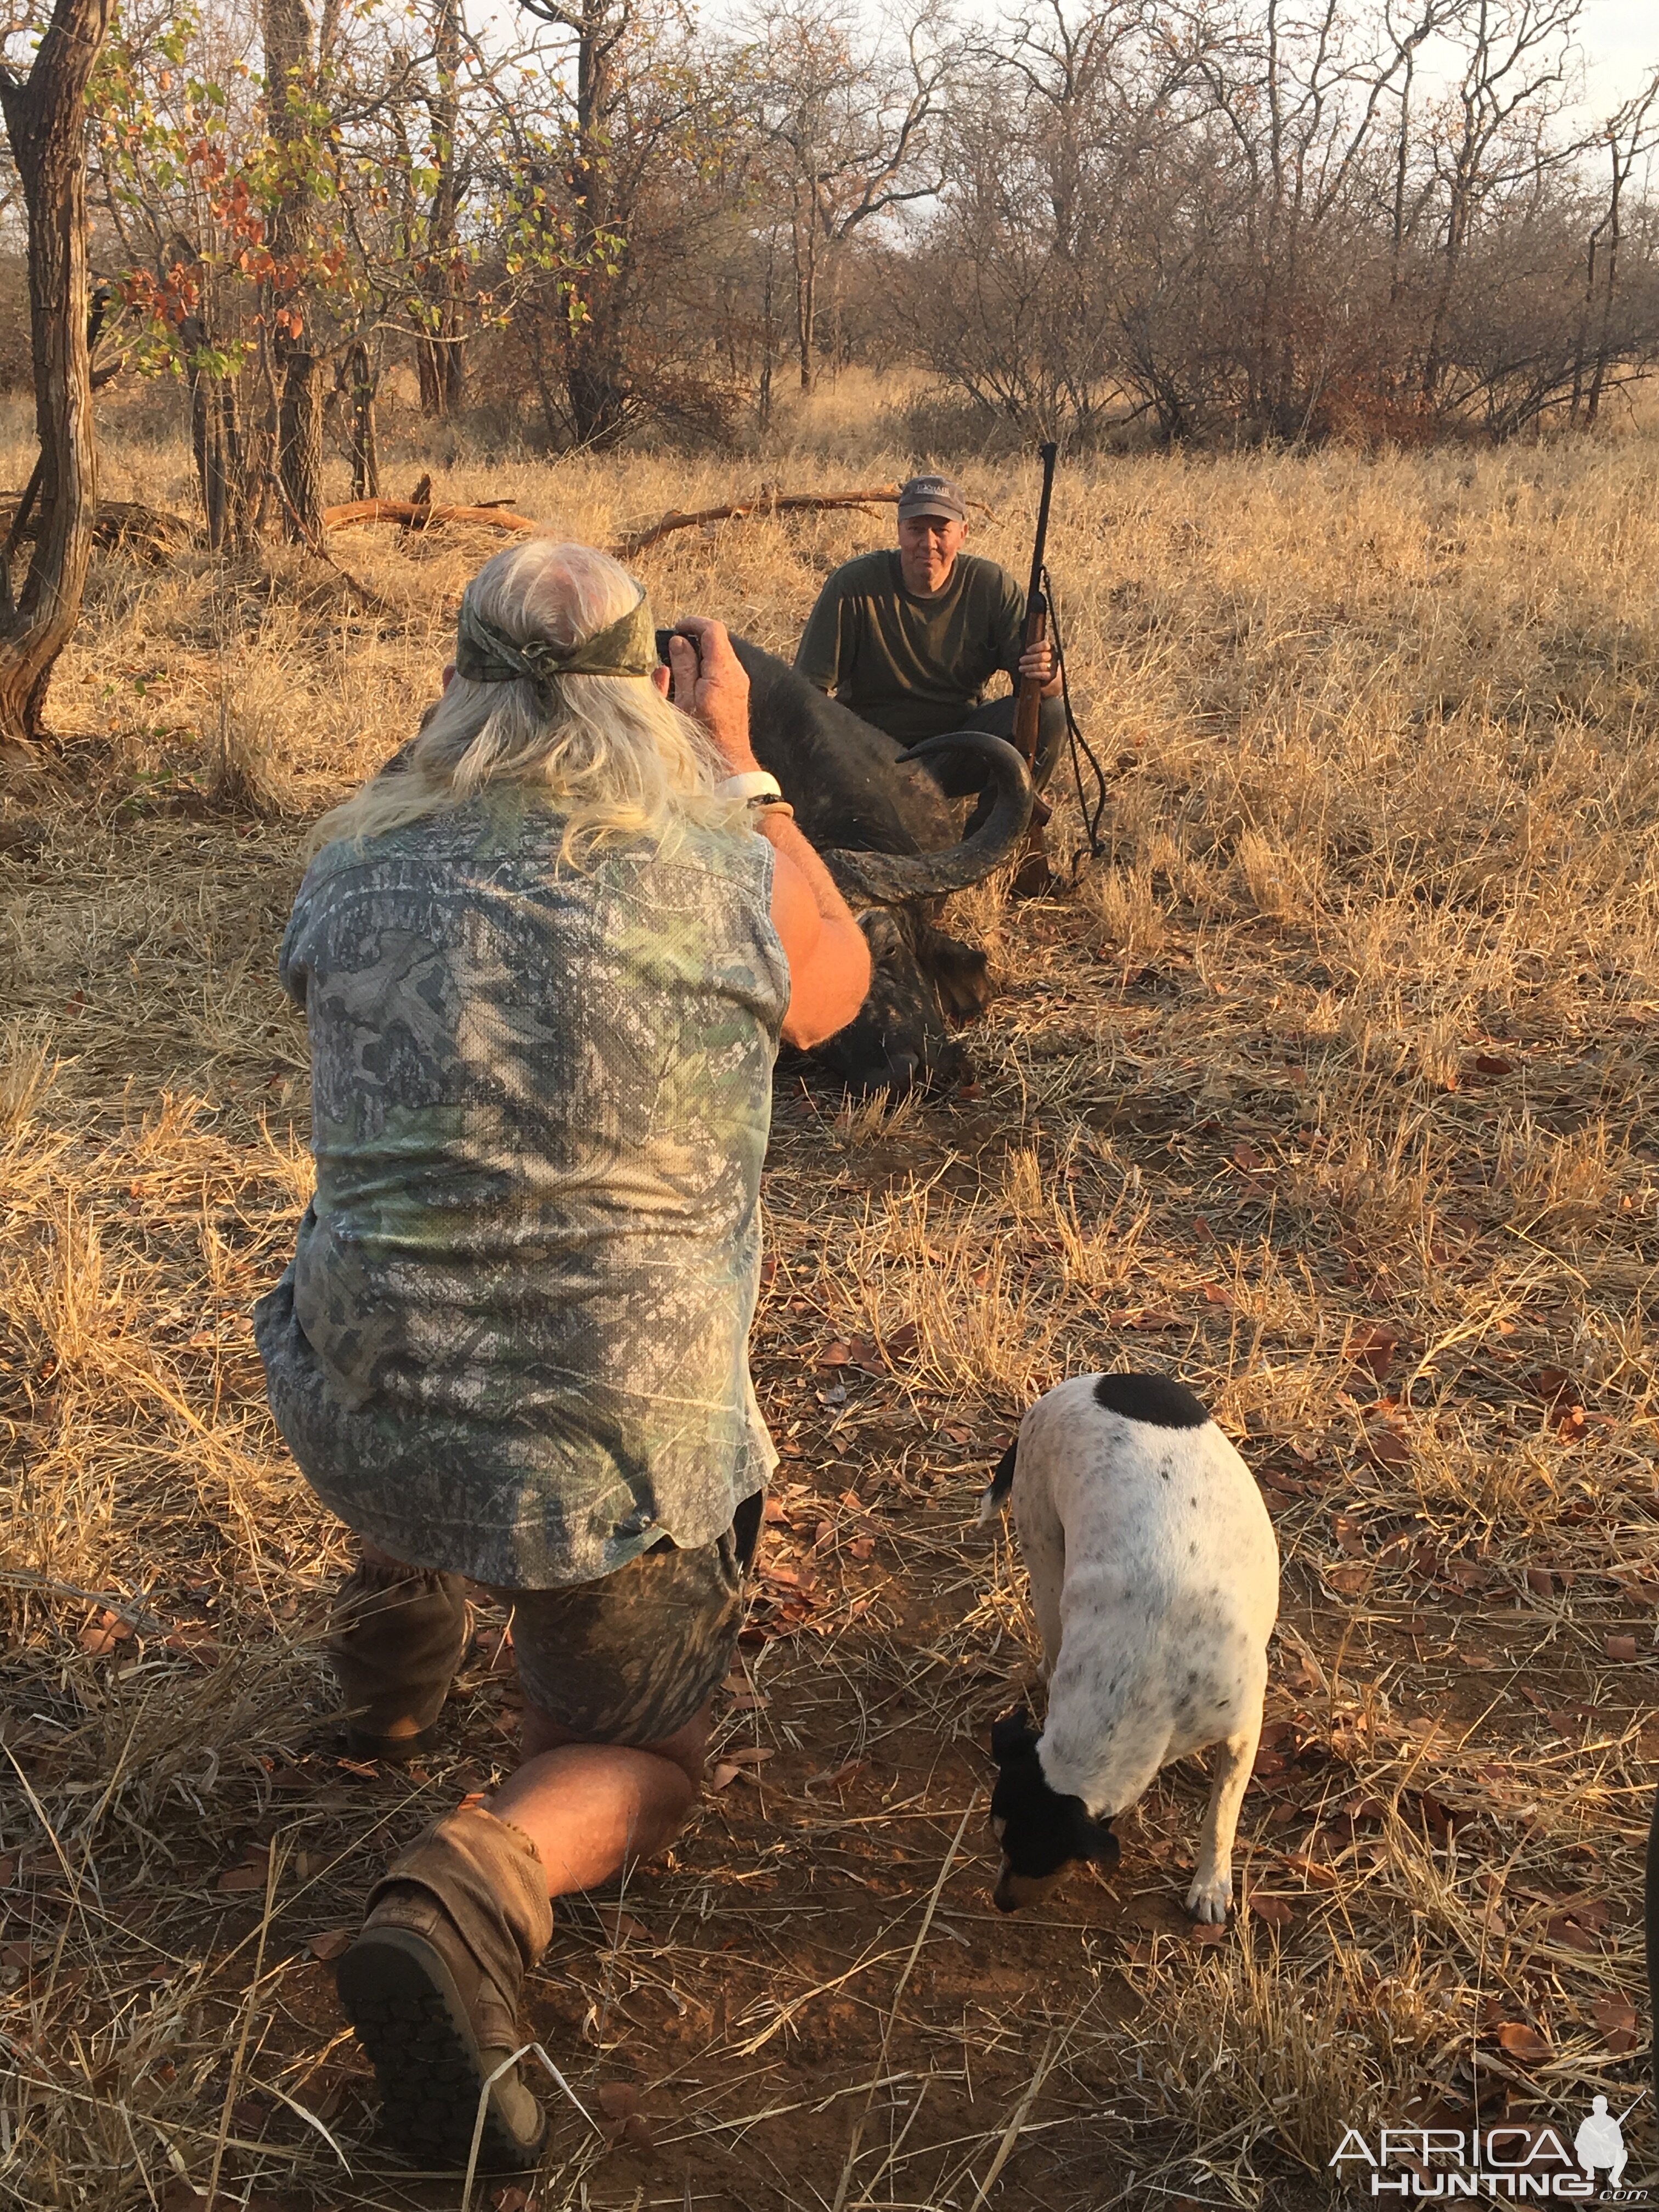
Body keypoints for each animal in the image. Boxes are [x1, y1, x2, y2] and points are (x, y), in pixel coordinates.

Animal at [982, 1362, 1283, 1920]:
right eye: (997, 1843)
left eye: (1040, 1861)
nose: (1001, 1902)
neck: (1138, 1669)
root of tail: (1077, 1384)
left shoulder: (1242, 1730)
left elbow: (1221, 1818)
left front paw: (1210, 1885)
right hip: (1044, 1552)